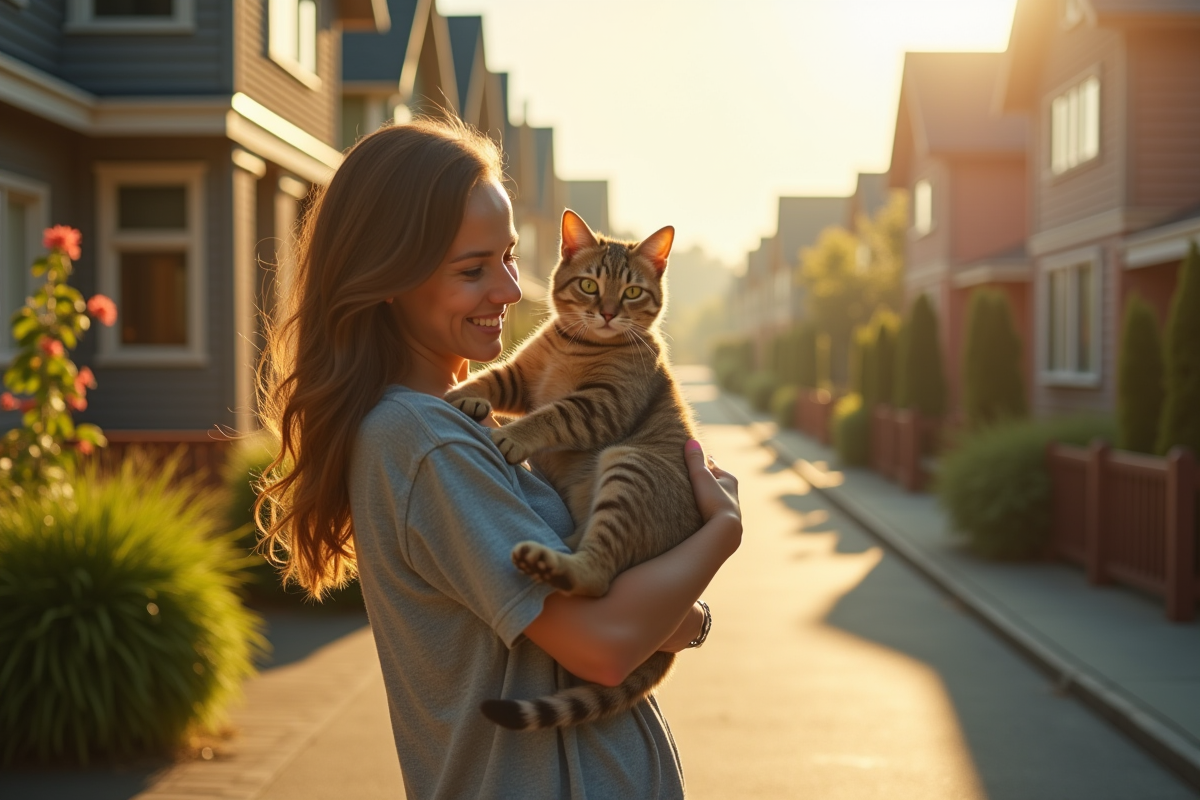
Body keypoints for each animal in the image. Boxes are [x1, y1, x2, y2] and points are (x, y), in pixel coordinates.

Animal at [444, 211, 700, 734]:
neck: (577, 346)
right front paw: (462, 395)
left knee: (599, 576)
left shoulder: (601, 404)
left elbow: (551, 416)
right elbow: (488, 377)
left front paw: (510, 435)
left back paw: (546, 561)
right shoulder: (523, 376)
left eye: (632, 292)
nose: (607, 312)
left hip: (629, 466)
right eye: (588, 285)